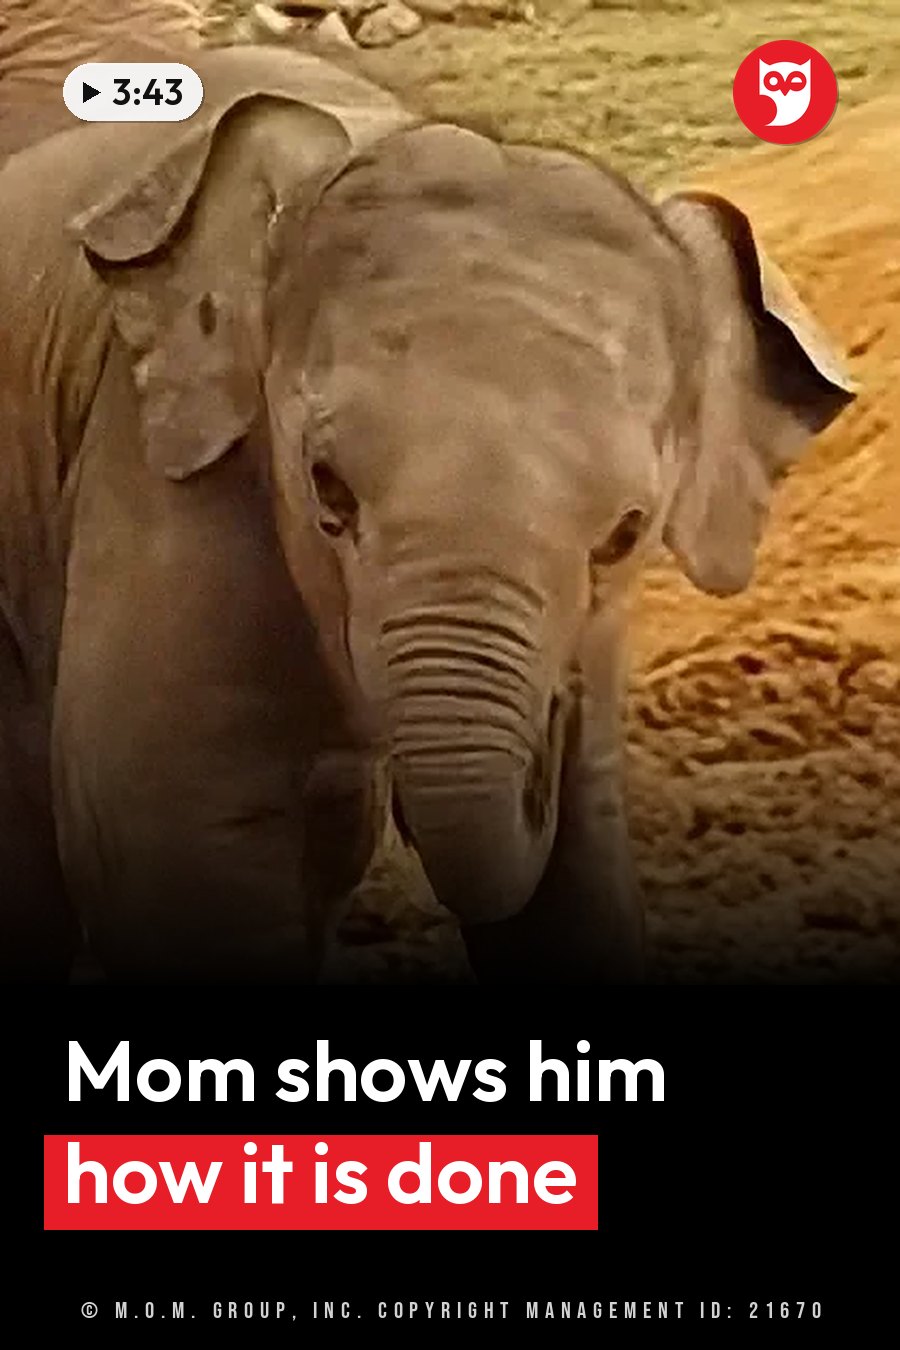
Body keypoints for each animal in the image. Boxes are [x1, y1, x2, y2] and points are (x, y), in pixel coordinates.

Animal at [0, 42, 855, 983]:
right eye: (326, 488)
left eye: (626, 534)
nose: (551, 730)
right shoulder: (161, 467)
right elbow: (169, 844)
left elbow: (582, 872)